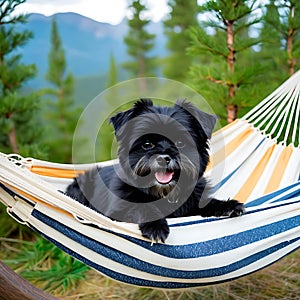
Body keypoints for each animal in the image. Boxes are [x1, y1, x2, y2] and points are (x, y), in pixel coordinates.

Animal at [67, 99, 245, 243]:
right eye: (147, 144)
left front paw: (226, 205)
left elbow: (207, 203)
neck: (163, 194)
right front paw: (155, 226)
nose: (163, 158)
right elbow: (141, 208)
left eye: (180, 143)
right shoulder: (115, 213)